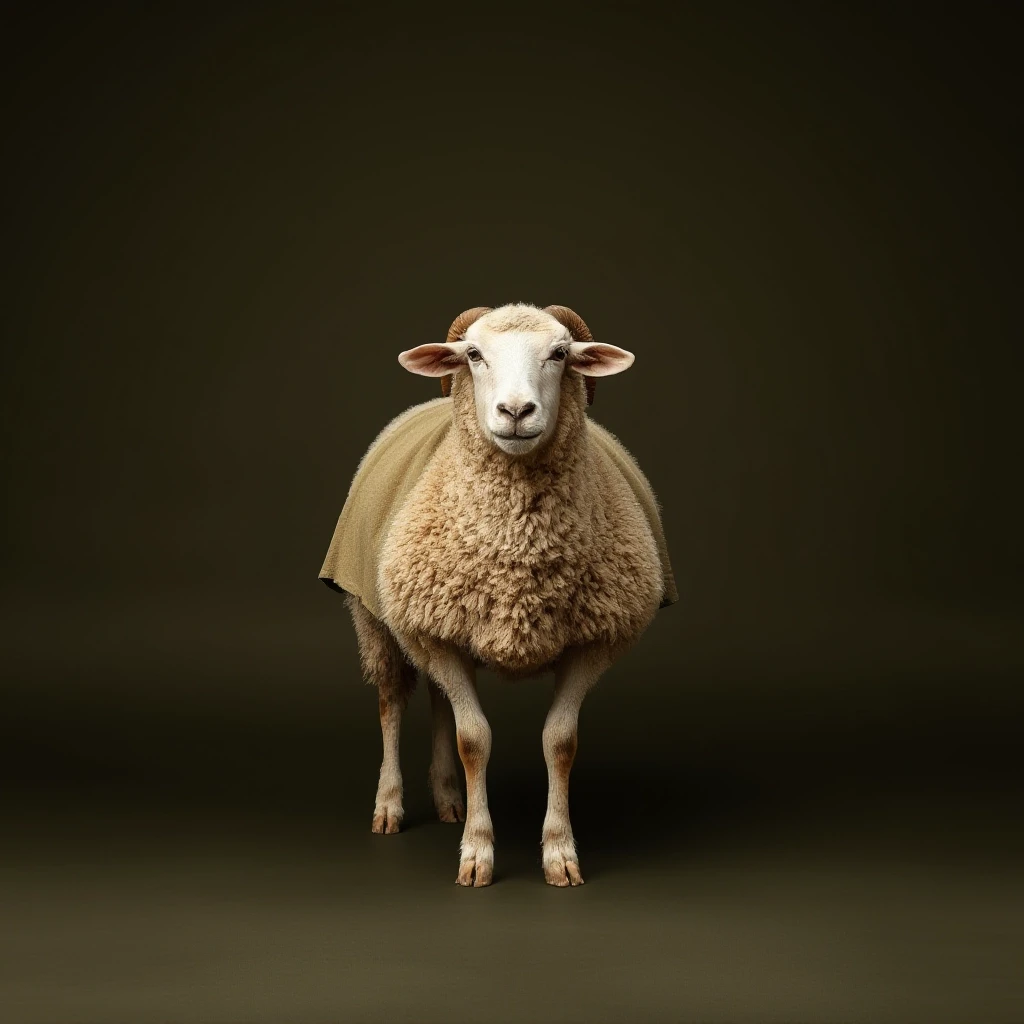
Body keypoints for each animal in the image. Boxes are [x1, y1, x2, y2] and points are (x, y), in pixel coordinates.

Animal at [319, 303, 678, 886]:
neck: (517, 552)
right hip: (377, 615)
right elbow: (475, 740)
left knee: (439, 697)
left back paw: (448, 798)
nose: (514, 411)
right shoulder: (428, 630)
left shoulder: (592, 640)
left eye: (560, 354)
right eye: (473, 354)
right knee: (391, 702)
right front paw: (478, 853)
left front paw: (559, 853)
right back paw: (390, 804)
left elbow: (559, 742)